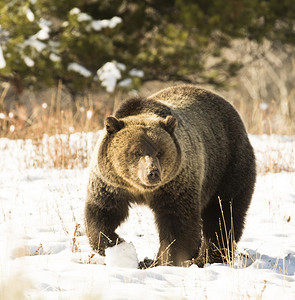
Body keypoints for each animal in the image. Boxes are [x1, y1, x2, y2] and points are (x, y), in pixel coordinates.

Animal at [85, 85, 256, 268]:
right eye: (136, 152)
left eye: (160, 152)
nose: (152, 173)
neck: (140, 190)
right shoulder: (111, 185)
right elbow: (101, 214)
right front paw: (118, 244)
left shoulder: (175, 185)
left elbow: (178, 224)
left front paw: (168, 260)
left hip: (227, 165)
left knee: (223, 213)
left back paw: (208, 257)